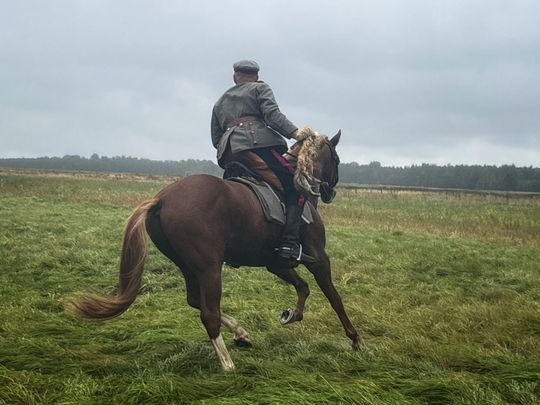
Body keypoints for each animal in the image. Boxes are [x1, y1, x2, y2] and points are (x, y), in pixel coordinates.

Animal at [73, 129, 362, 371]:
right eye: (336, 158)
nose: (330, 192)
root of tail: (162, 198)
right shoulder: (318, 259)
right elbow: (334, 297)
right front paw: (355, 339)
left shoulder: (276, 262)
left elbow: (302, 287)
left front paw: (292, 315)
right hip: (209, 267)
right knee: (208, 312)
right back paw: (228, 365)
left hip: (188, 266)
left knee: (195, 300)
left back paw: (241, 333)